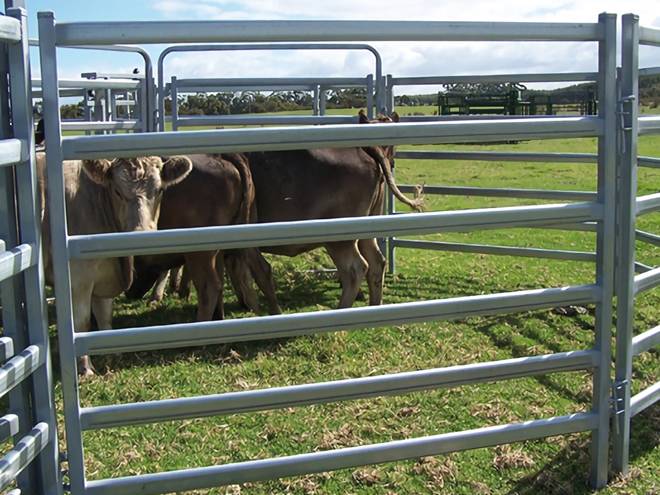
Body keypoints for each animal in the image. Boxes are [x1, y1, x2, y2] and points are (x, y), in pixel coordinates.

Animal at [38, 153, 193, 375]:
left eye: (160, 190)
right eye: (117, 191)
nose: (140, 233)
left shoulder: (103, 277)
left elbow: (104, 317)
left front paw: (113, 352)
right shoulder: (78, 280)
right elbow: (81, 323)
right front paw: (85, 369)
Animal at [124, 154, 281, 320]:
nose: (130, 292)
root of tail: (221, 157)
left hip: (200, 253)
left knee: (209, 287)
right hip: (246, 232)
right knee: (262, 269)